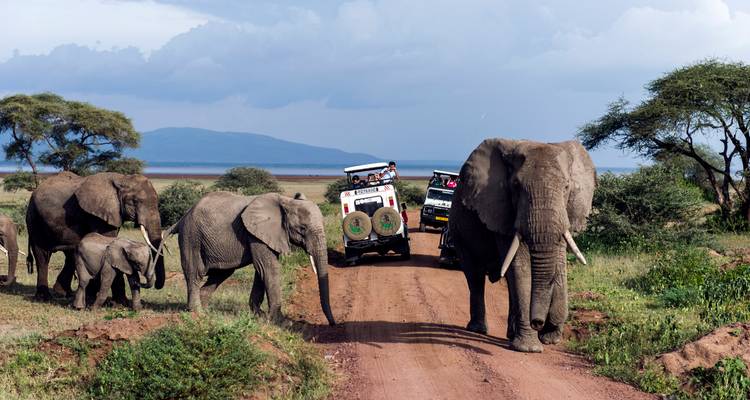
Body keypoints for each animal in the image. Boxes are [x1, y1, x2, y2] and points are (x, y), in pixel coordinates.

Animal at [26, 172, 165, 300]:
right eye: (136, 201)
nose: (157, 286)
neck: (122, 179)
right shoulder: (99, 214)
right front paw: (119, 302)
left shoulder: (113, 213)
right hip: (35, 219)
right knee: (42, 255)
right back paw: (44, 297)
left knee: (70, 255)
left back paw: (65, 293)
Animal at [159, 191, 335, 326]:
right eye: (302, 229)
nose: (332, 324)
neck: (285, 201)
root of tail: (182, 218)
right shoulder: (256, 233)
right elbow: (269, 268)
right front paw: (281, 322)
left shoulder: (265, 235)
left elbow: (262, 270)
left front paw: (259, 315)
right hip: (191, 237)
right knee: (195, 273)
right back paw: (197, 312)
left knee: (220, 274)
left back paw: (206, 310)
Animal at [450, 138, 595, 353]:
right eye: (516, 186)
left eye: (567, 186)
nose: (538, 323)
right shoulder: (501, 209)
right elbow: (520, 266)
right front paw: (530, 348)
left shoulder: (564, 212)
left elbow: (559, 262)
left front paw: (550, 338)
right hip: (458, 229)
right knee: (474, 275)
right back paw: (478, 329)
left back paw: (510, 333)